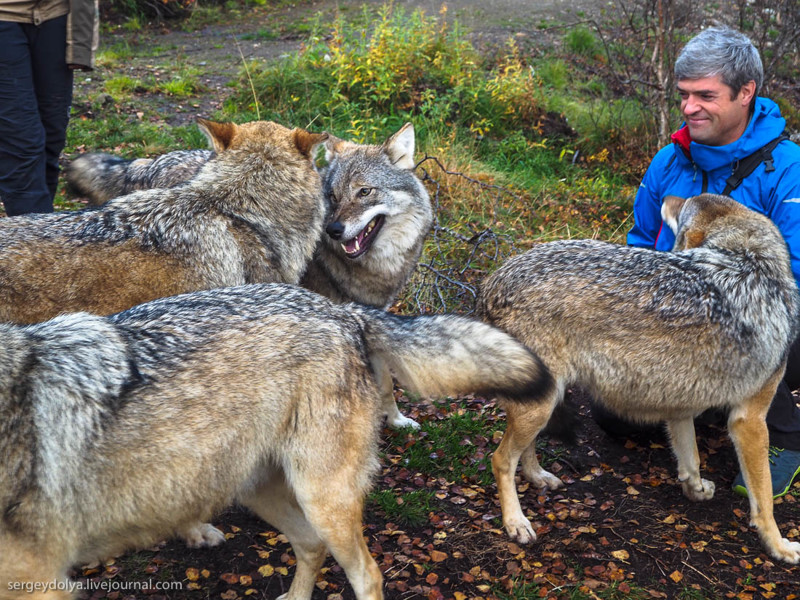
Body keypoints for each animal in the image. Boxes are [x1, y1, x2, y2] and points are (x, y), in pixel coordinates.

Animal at [0, 282, 552, 600]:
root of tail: (345, 312)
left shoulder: (39, 585)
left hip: (321, 498)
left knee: (368, 575)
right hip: (260, 490)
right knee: (310, 546)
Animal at [65, 123, 434, 432]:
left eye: (365, 192)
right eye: (332, 196)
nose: (333, 229)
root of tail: (157, 160)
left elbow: (386, 382)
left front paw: (397, 420)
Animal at [478, 195, 800, 564]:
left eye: (682, 206)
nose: (666, 197)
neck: (752, 262)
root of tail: (492, 281)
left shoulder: (680, 405)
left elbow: (691, 461)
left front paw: (696, 489)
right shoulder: (749, 421)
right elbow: (764, 501)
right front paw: (780, 546)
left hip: (545, 400)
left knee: (524, 449)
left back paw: (539, 478)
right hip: (539, 406)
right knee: (501, 459)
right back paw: (516, 523)